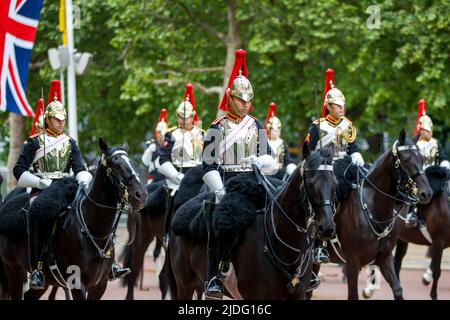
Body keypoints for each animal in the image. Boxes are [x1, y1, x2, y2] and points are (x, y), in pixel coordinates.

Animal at [0, 138, 148, 300]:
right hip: (13, 271)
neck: (93, 231)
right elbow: (19, 169)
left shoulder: (99, 286)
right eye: (116, 165)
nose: (141, 195)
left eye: (133, 163)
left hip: (43, 281)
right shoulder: (77, 284)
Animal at [310, 128, 432, 300]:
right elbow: (353, 295)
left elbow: (398, 289)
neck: (373, 209)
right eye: (405, 159)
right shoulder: (352, 262)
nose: (426, 193)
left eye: (422, 158)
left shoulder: (385, 258)